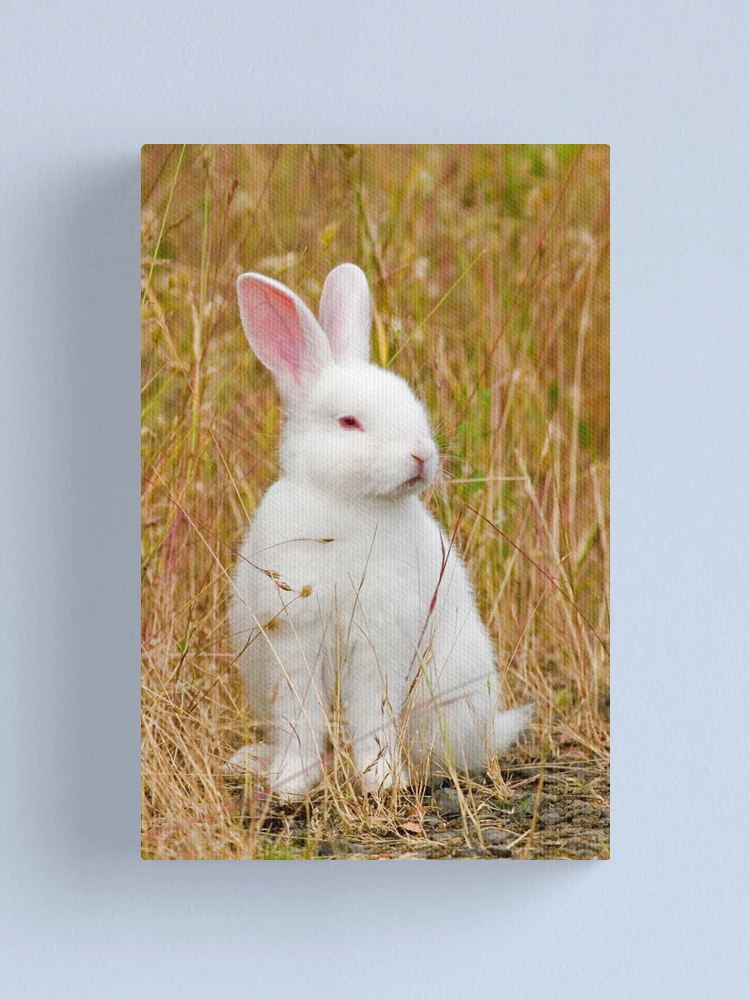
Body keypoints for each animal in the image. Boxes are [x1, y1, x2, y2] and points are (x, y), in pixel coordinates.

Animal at [225, 263, 533, 799]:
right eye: (349, 422)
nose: (422, 456)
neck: (349, 501)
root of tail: (489, 731)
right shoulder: (295, 637)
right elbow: (300, 718)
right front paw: (290, 783)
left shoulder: (381, 639)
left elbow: (371, 715)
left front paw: (381, 782)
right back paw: (252, 762)